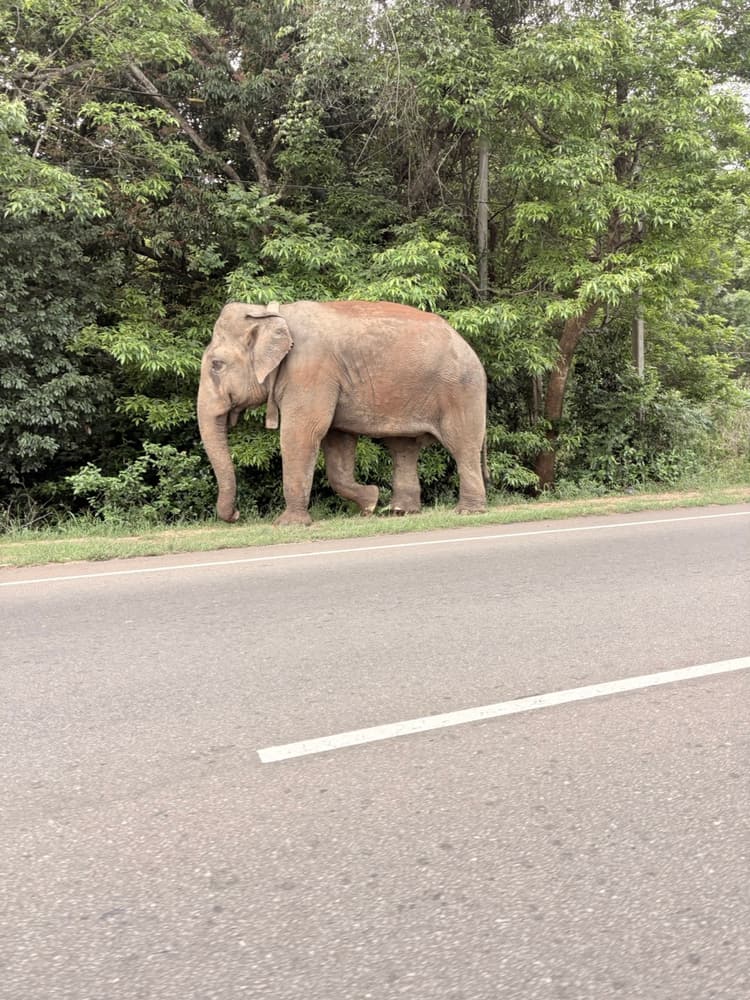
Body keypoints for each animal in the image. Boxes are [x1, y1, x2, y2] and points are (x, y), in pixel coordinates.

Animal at [197, 299, 489, 526]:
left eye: (217, 365)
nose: (236, 515)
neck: (271, 313)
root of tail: (468, 346)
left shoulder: (311, 371)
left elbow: (302, 434)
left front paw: (288, 525)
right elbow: (337, 442)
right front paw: (370, 503)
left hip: (461, 389)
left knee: (461, 445)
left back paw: (468, 512)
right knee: (403, 448)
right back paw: (400, 512)